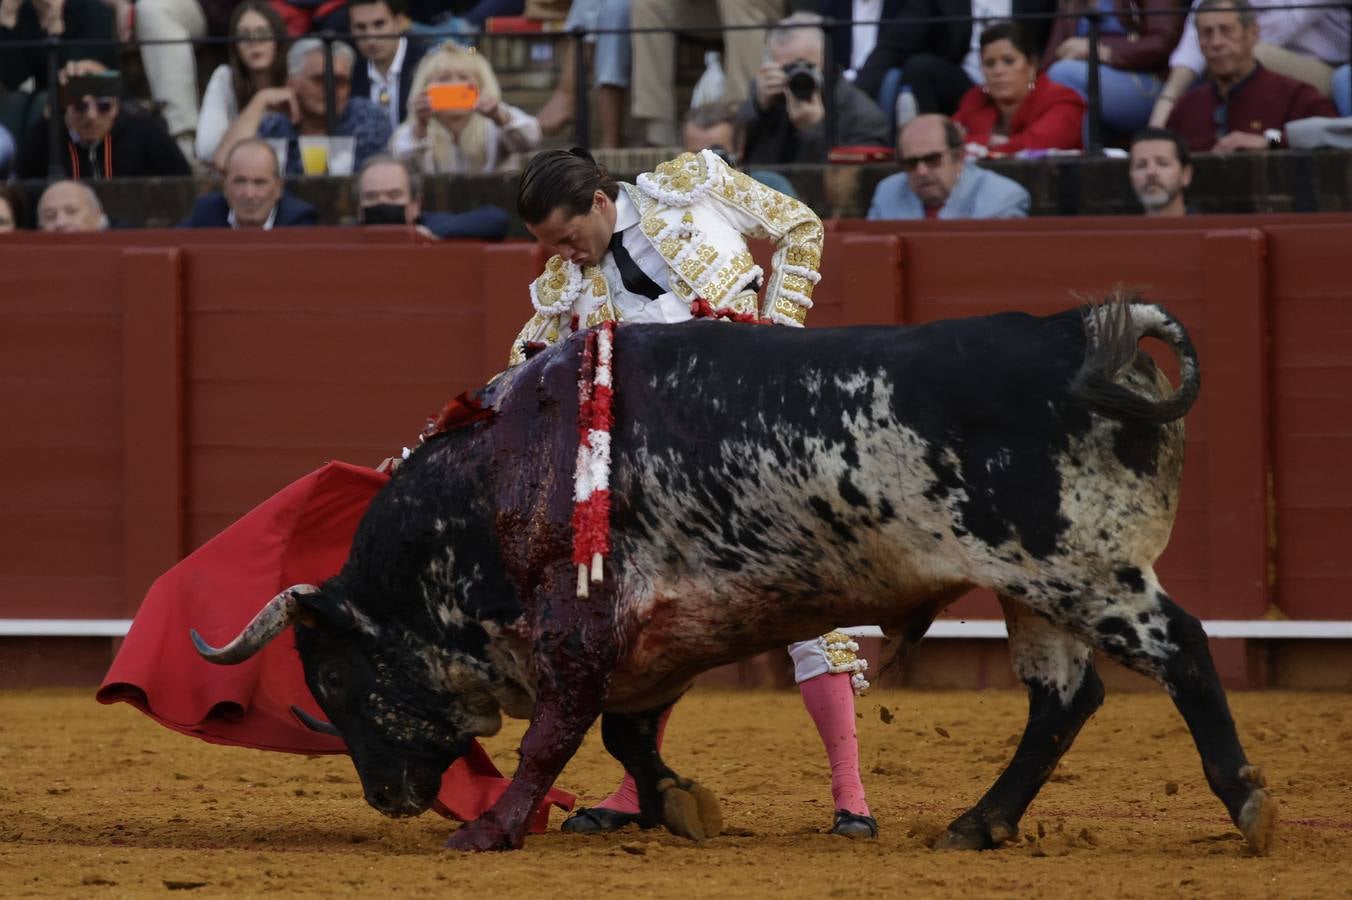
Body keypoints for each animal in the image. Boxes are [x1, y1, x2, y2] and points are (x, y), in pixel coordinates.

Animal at [190, 297, 1276, 854]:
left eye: (335, 678)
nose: (386, 799)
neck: (499, 477)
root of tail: (1081, 329)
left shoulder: (576, 629)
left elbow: (552, 734)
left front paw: (492, 829)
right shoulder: (655, 638)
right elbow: (627, 736)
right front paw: (677, 807)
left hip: (1081, 566)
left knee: (1181, 649)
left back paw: (1247, 806)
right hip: (1033, 587)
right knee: (1062, 700)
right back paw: (978, 823)